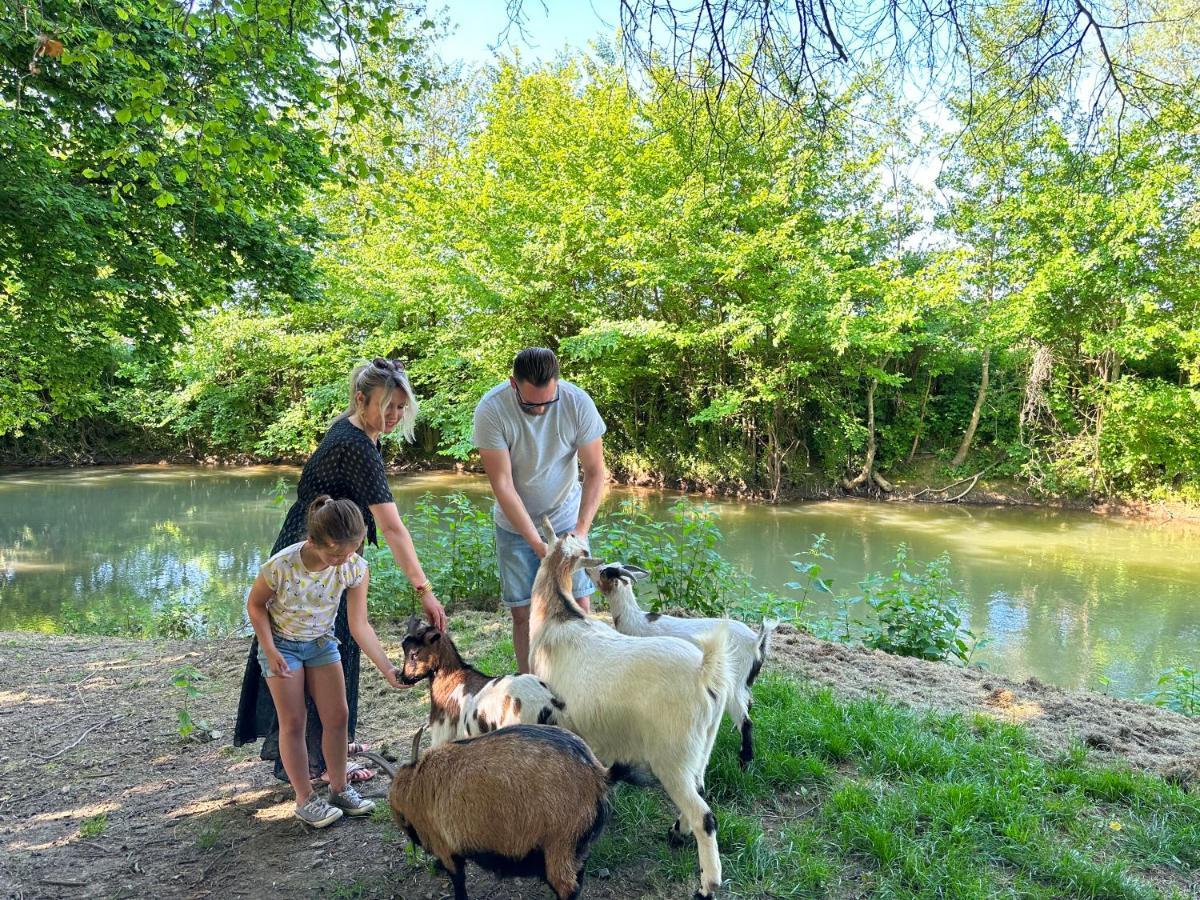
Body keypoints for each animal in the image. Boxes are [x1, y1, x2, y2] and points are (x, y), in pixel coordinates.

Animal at [532, 520, 729, 900]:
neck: (557, 616)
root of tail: (704, 672)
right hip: (702, 745)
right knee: (699, 787)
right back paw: (676, 833)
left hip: (672, 755)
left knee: (704, 815)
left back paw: (706, 885)